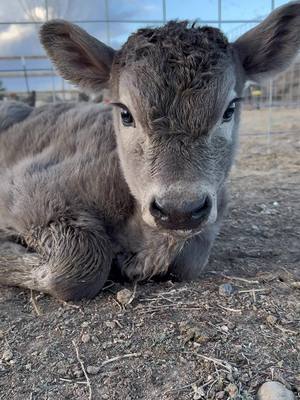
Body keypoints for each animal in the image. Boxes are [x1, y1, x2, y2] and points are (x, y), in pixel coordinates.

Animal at [0, 0, 300, 300]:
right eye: (125, 114)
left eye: (229, 110)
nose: (179, 210)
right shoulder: (27, 191)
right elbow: (77, 268)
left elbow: (189, 260)